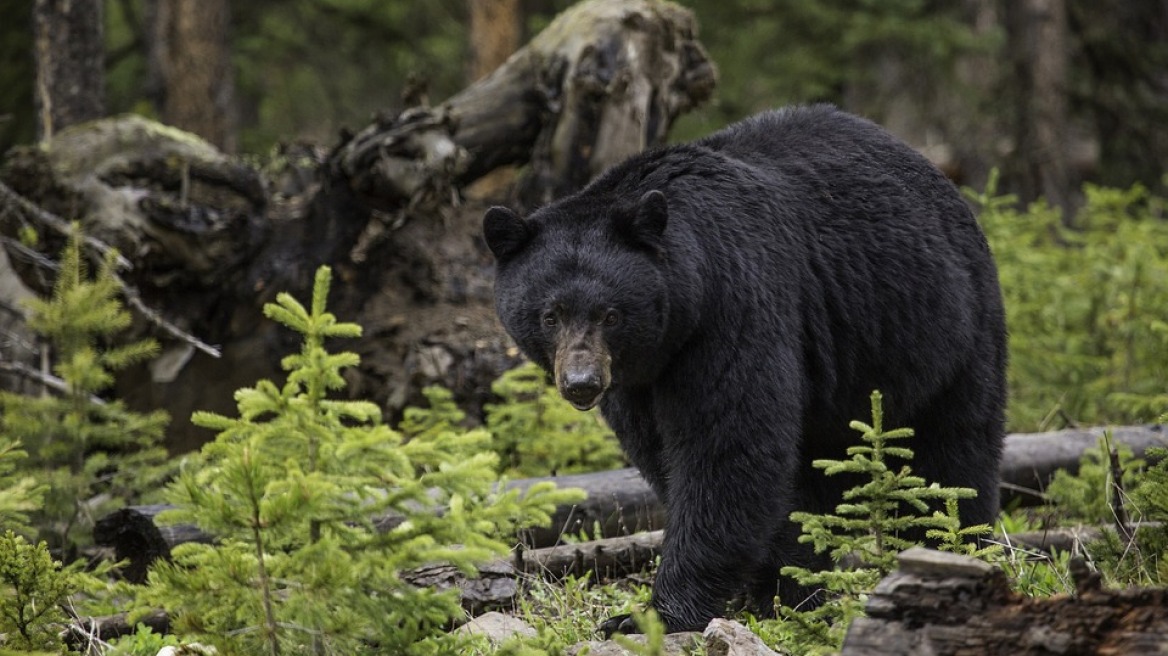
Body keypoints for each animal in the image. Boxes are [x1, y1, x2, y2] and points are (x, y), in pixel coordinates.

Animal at [481, 104, 1004, 630]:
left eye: (611, 314)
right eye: (550, 315)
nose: (582, 384)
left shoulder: (733, 307)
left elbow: (727, 448)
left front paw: (656, 613)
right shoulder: (638, 380)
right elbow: (664, 454)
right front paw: (776, 587)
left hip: (946, 330)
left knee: (954, 454)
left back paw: (952, 550)